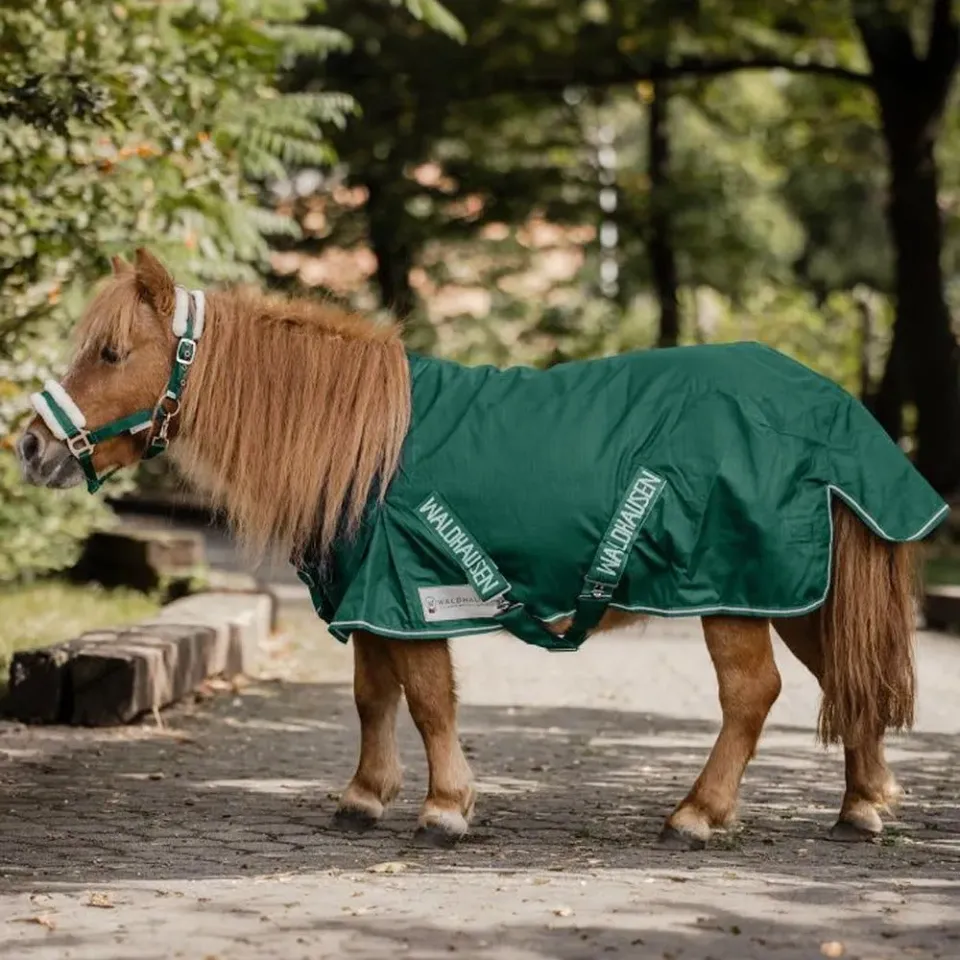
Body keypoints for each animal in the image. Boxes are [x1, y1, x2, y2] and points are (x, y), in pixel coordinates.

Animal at [17, 248, 946, 850]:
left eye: (112, 351)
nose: (30, 445)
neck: (366, 445)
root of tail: (831, 408)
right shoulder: (374, 599)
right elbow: (373, 696)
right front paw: (365, 796)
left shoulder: (416, 594)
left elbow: (429, 699)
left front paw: (446, 807)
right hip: (791, 592)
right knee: (847, 677)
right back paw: (863, 805)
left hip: (731, 592)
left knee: (754, 694)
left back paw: (699, 813)